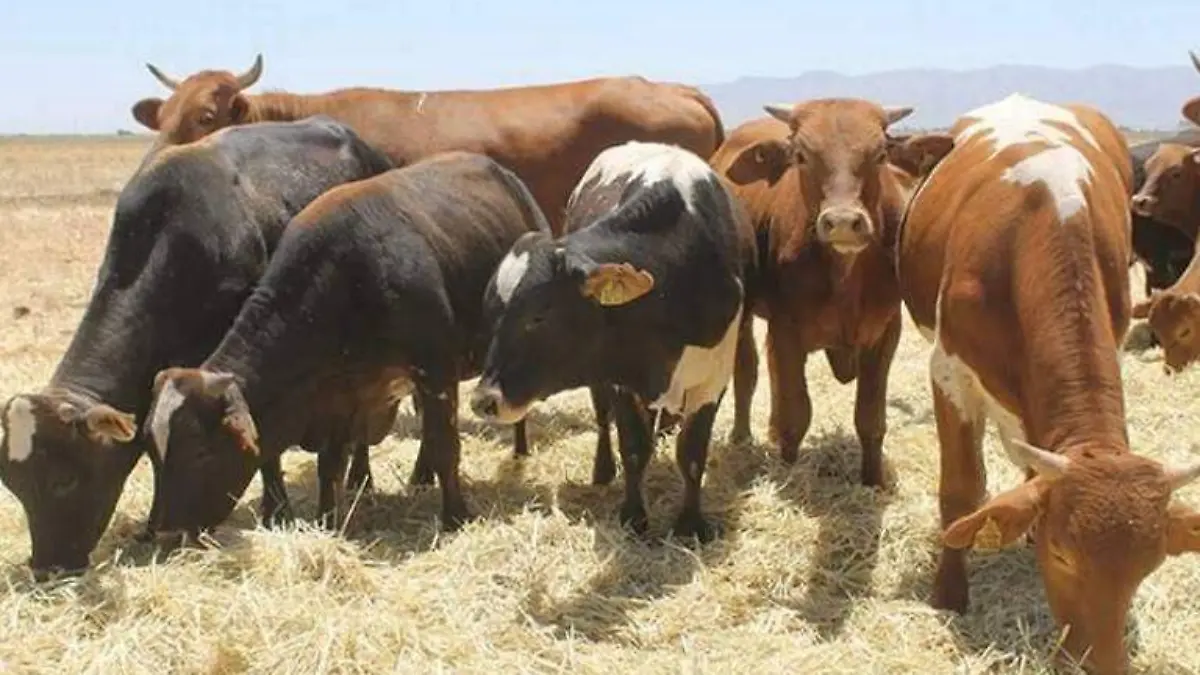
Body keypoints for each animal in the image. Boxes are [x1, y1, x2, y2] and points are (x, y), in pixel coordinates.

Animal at [143, 151, 549, 535]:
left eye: (198, 451)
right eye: (152, 454)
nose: (165, 531)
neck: (345, 278)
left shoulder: (434, 372)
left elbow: (446, 446)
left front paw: (455, 517)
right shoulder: (339, 395)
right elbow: (331, 465)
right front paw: (327, 520)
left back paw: (519, 451)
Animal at [468, 141, 756, 543]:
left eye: (538, 316)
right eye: (491, 313)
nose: (484, 400)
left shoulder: (711, 380)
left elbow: (692, 453)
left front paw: (690, 524)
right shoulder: (620, 376)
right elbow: (634, 448)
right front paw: (634, 517)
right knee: (604, 418)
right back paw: (603, 470)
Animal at [707, 103, 952, 487]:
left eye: (880, 154)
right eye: (801, 156)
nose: (842, 222)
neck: (844, 276)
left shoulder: (885, 333)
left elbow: (870, 418)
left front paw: (873, 481)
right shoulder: (786, 332)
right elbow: (795, 414)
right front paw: (790, 472)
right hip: (743, 317)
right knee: (746, 371)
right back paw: (742, 436)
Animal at [896, 92, 1200, 674]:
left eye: (1147, 566)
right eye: (1063, 555)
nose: (1101, 664)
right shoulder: (949, 373)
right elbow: (960, 492)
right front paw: (949, 594)